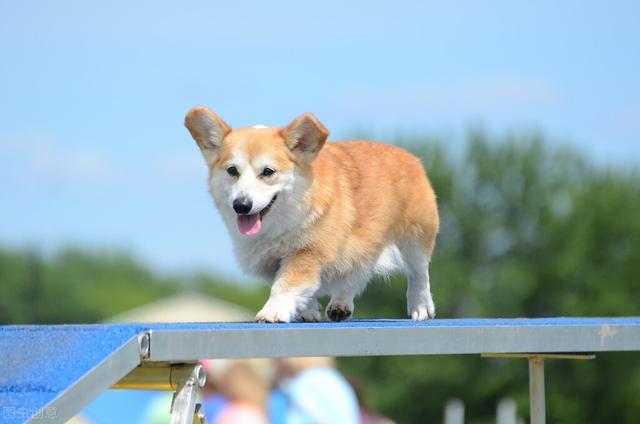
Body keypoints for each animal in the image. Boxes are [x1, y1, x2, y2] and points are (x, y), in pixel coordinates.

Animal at [182, 107, 438, 322]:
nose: (241, 205)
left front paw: (272, 312)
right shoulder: (269, 261)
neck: (281, 223)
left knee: (419, 273)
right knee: (356, 272)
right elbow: (288, 283)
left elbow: (285, 284)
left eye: (268, 172)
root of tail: (408, 155)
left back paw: (421, 307)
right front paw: (307, 309)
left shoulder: (308, 252)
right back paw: (340, 305)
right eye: (232, 171)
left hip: (416, 236)